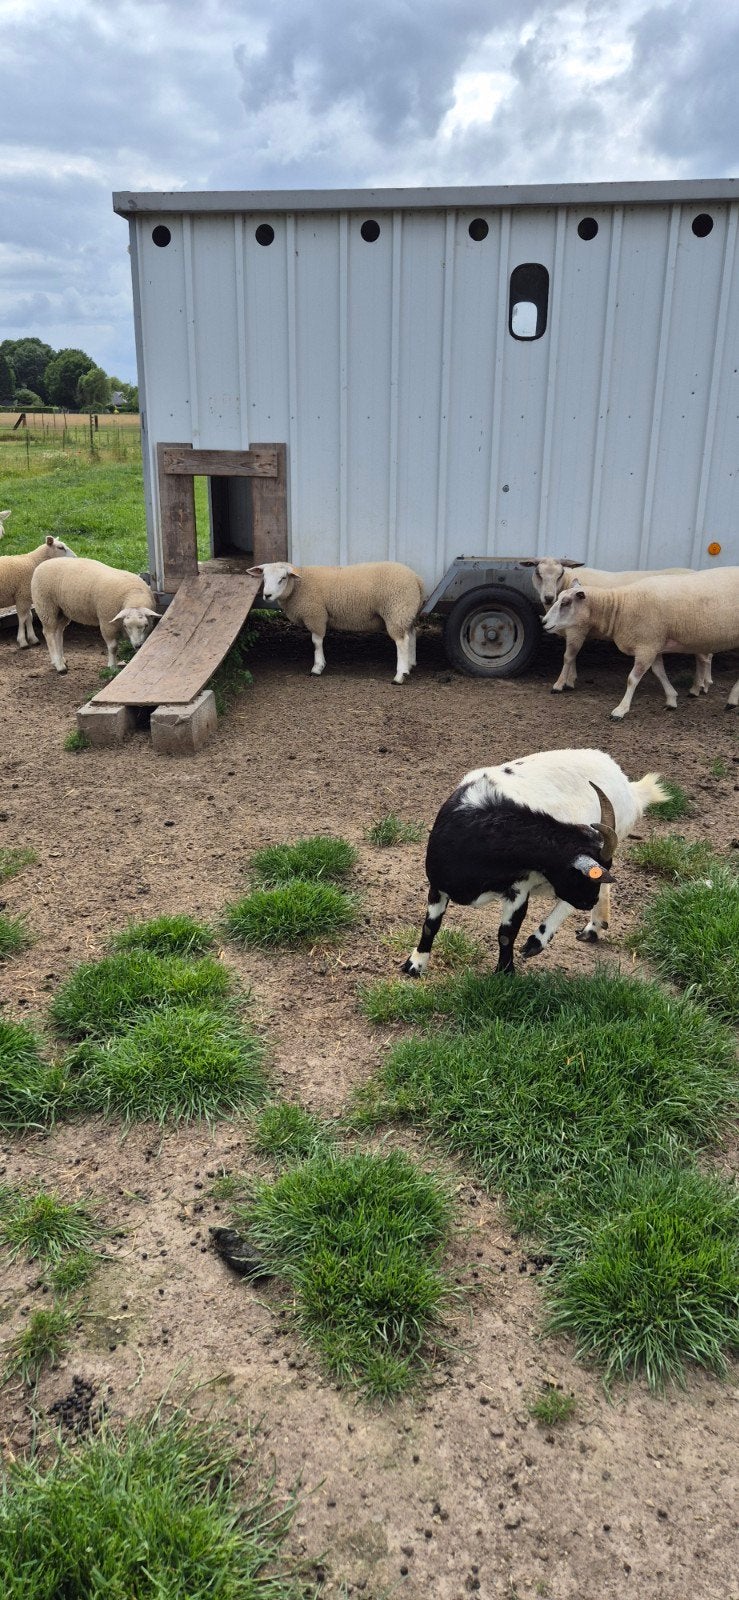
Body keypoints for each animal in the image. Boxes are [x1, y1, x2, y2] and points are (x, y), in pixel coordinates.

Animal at [247, 560, 425, 683]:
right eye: (264, 577)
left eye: (282, 578)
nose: (267, 595)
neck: (299, 586)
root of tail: (416, 578)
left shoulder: (316, 615)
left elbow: (316, 642)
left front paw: (317, 667)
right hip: (406, 613)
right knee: (411, 634)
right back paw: (410, 665)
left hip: (396, 610)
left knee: (402, 641)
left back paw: (399, 675)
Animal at [402, 749, 668, 977]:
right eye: (578, 877)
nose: (588, 901)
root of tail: (627, 785)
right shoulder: (438, 884)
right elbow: (430, 925)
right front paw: (414, 964)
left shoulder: (520, 889)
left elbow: (506, 934)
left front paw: (505, 974)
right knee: (603, 889)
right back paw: (593, 928)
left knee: (572, 900)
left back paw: (540, 940)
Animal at [521, 557, 711, 696]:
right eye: (537, 573)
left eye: (560, 573)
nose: (548, 597)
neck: (568, 582)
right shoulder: (572, 629)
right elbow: (573, 656)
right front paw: (570, 680)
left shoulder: (578, 628)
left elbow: (568, 656)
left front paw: (560, 684)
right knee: (704, 656)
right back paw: (704, 684)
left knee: (703, 657)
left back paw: (698, 687)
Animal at [542, 570, 739, 719]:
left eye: (566, 603)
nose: (543, 622)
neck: (619, 608)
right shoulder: (653, 644)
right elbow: (659, 672)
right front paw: (671, 699)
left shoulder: (647, 646)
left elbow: (632, 679)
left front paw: (620, 710)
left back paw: (730, 699)